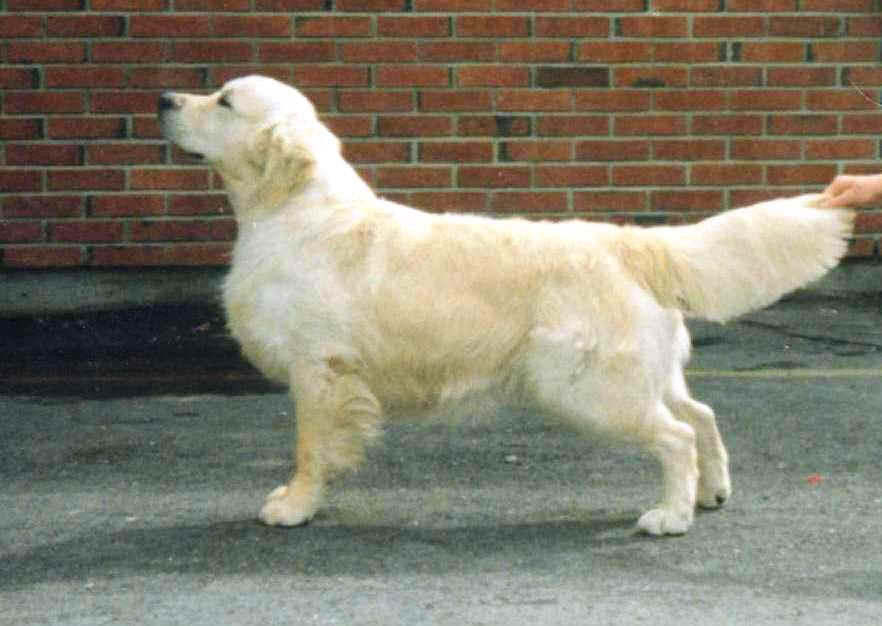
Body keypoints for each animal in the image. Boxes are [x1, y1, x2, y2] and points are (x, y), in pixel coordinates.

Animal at [158, 73, 852, 532]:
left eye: (225, 101)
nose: (163, 99)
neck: (293, 210)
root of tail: (631, 242)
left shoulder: (319, 367)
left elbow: (309, 446)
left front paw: (295, 505)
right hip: (644, 374)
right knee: (701, 414)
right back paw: (712, 493)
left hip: (588, 387)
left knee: (677, 435)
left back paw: (670, 515)